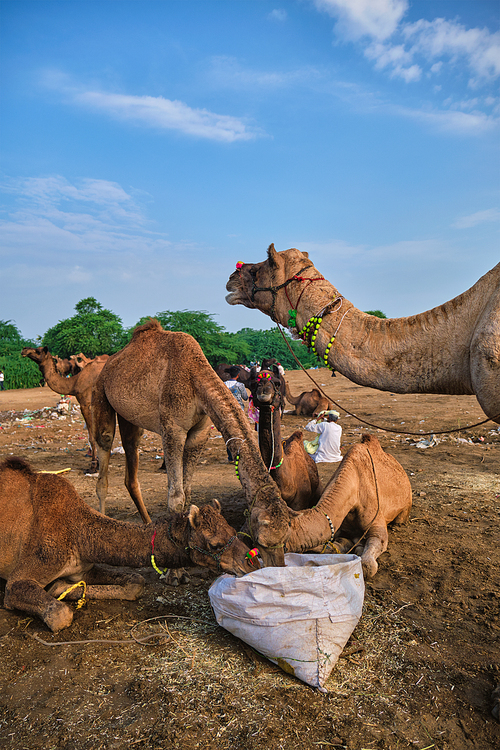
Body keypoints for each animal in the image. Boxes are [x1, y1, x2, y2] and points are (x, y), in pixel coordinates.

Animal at [0, 458, 254, 636]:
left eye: (233, 531)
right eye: (215, 544)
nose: (251, 561)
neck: (79, 531)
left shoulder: (83, 568)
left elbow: (136, 581)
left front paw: (59, 587)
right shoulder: (22, 576)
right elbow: (59, 614)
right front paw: (56, 590)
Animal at [92, 320, 292, 568]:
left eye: (286, 536)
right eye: (262, 540)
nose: (278, 565)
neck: (195, 376)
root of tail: (110, 363)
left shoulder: (200, 433)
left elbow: (187, 491)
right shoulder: (173, 429)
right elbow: (175, 498)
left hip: (130, 418)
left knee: (131, 454)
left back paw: (147, 523)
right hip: (100, 393)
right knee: (104, 446)